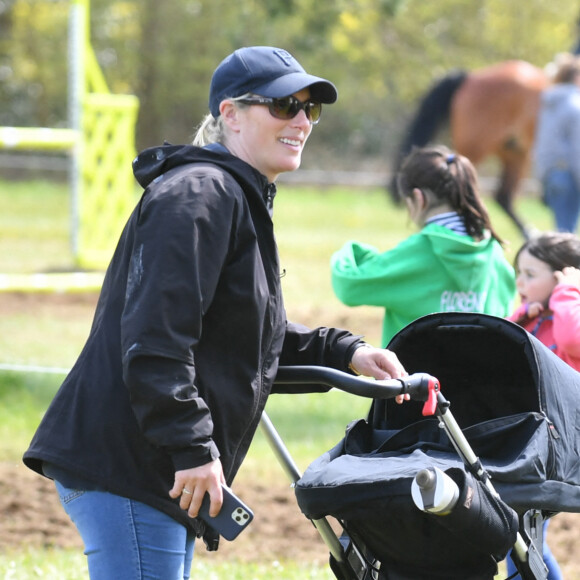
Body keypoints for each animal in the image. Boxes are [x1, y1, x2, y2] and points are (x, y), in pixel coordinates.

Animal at [390, 60, 548, 238]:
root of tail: (469, 77)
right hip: (487, 147)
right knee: (500, 195)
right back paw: (529, 232)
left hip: (512, 151)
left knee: (503, 195)